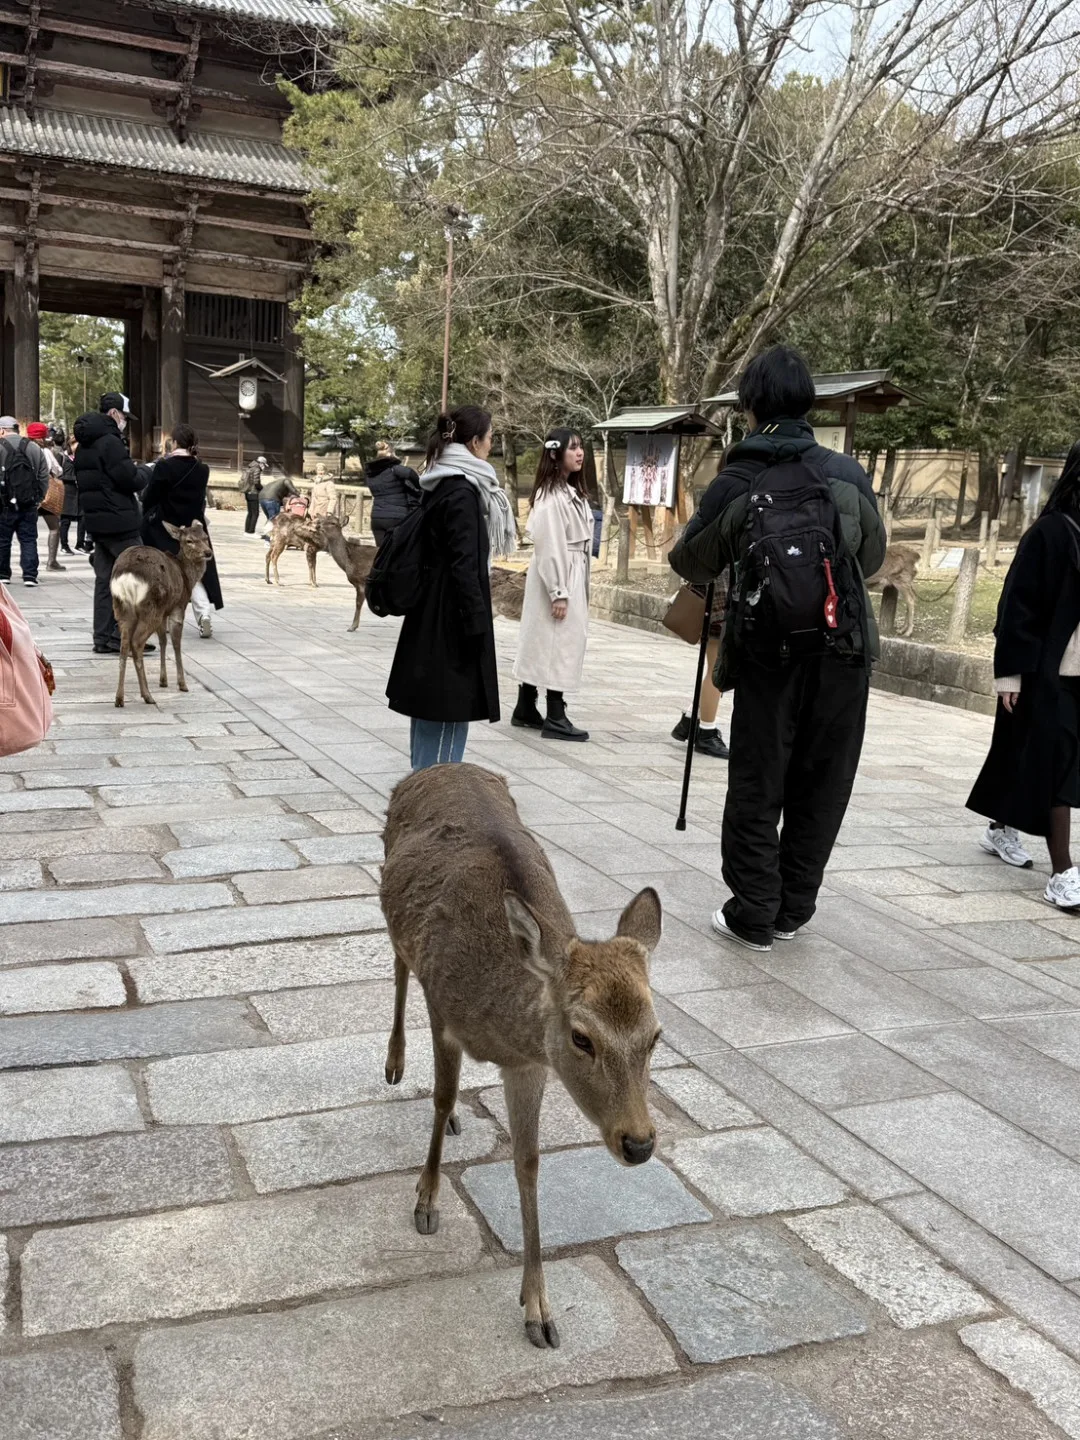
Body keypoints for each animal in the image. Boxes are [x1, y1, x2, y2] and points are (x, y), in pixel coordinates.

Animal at [110, 521, 212, 708]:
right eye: (189, 540)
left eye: (205, 537)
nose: (208, 552)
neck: (187, 577)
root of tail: (127, 576)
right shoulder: (178, 607)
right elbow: (176, 643)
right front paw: (182, 684)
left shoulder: (164, 612)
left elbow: (163, 640)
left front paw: (163, 680)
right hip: (151, 607)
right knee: (136, 643)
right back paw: (147, 695)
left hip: (122, 608)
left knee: (124, 645)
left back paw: (119, 698)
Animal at [380, 762, 662, 1351]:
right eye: (581, 1037)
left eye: (655, 1036)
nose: (640, 1143)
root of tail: (442, 764)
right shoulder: (442, 1010)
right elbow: (440, 1097)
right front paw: (426, 1202)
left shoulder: (529, 1064)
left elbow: (528, 1162)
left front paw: (539, 1309)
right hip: (397, 923)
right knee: (397, 968)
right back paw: (394, 1064)